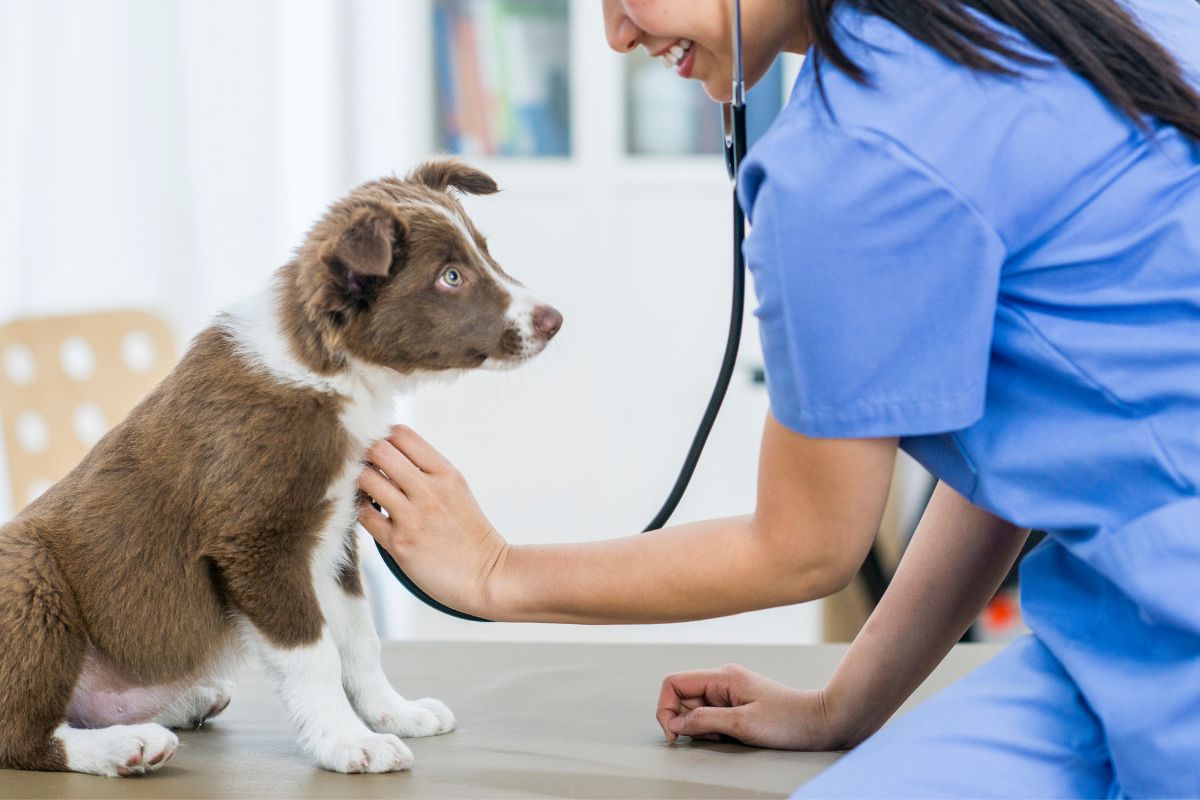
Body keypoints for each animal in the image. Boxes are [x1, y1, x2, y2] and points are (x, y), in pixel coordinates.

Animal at [0, 159, 561, 777]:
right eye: (451, 277)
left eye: (484, 254)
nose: (555, 320)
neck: (329, 368)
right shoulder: (257, 544)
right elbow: (313, 654)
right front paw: (348, 743)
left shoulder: (334, 536)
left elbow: (359, 638)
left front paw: (393, 712)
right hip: (31, 582)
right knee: (21, 736)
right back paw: (125, 745)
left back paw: (181, 704)